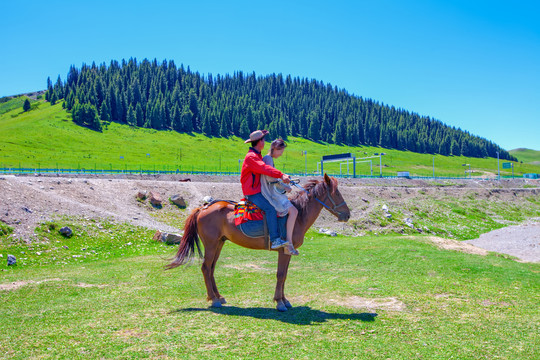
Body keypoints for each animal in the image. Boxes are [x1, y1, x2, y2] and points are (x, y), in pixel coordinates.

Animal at [167, 173, 350, 310]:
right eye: (336, 193)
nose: (347, 215)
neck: (297, 215)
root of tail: (203, 207)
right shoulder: (283, 251)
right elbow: (280, 275)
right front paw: (280, 302)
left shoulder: (288, 252)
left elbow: (284, 275)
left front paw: (284, 300)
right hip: (211, 244)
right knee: (206, 268)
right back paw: (214, 299)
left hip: (219, 243)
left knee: (211, 268)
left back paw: (218, 296)